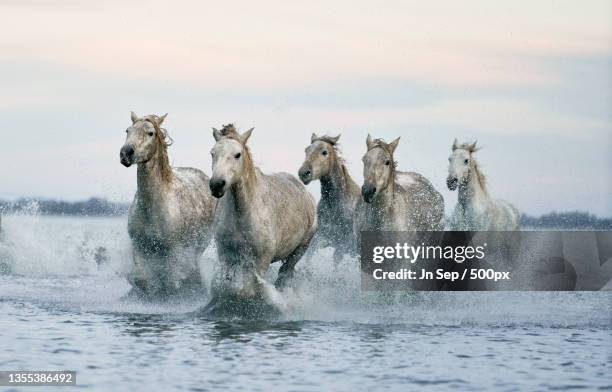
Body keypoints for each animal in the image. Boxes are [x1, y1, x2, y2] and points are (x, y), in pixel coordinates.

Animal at [119, 112, 215, 298]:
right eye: (127, 130)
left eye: (150, 133)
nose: (126, 153)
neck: (151, 208)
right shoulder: (140, 247)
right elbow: (142, 280)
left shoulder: (172, 251)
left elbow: (170, 282)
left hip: (198, 244)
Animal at [208, 124, 318, 298]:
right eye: (212, 153)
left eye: (237, 155)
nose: (217, 184)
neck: (242, 213)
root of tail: (307, 194)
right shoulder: (227, 256)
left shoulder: (260, 262)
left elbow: (250, 290)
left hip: (300, 249)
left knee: (285, 273)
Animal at [298, 133, 360, 262]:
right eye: (306, 150)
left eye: (324, 152)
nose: (304, 173)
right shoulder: (321, 238)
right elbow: (309, 255)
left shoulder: (343, 245)